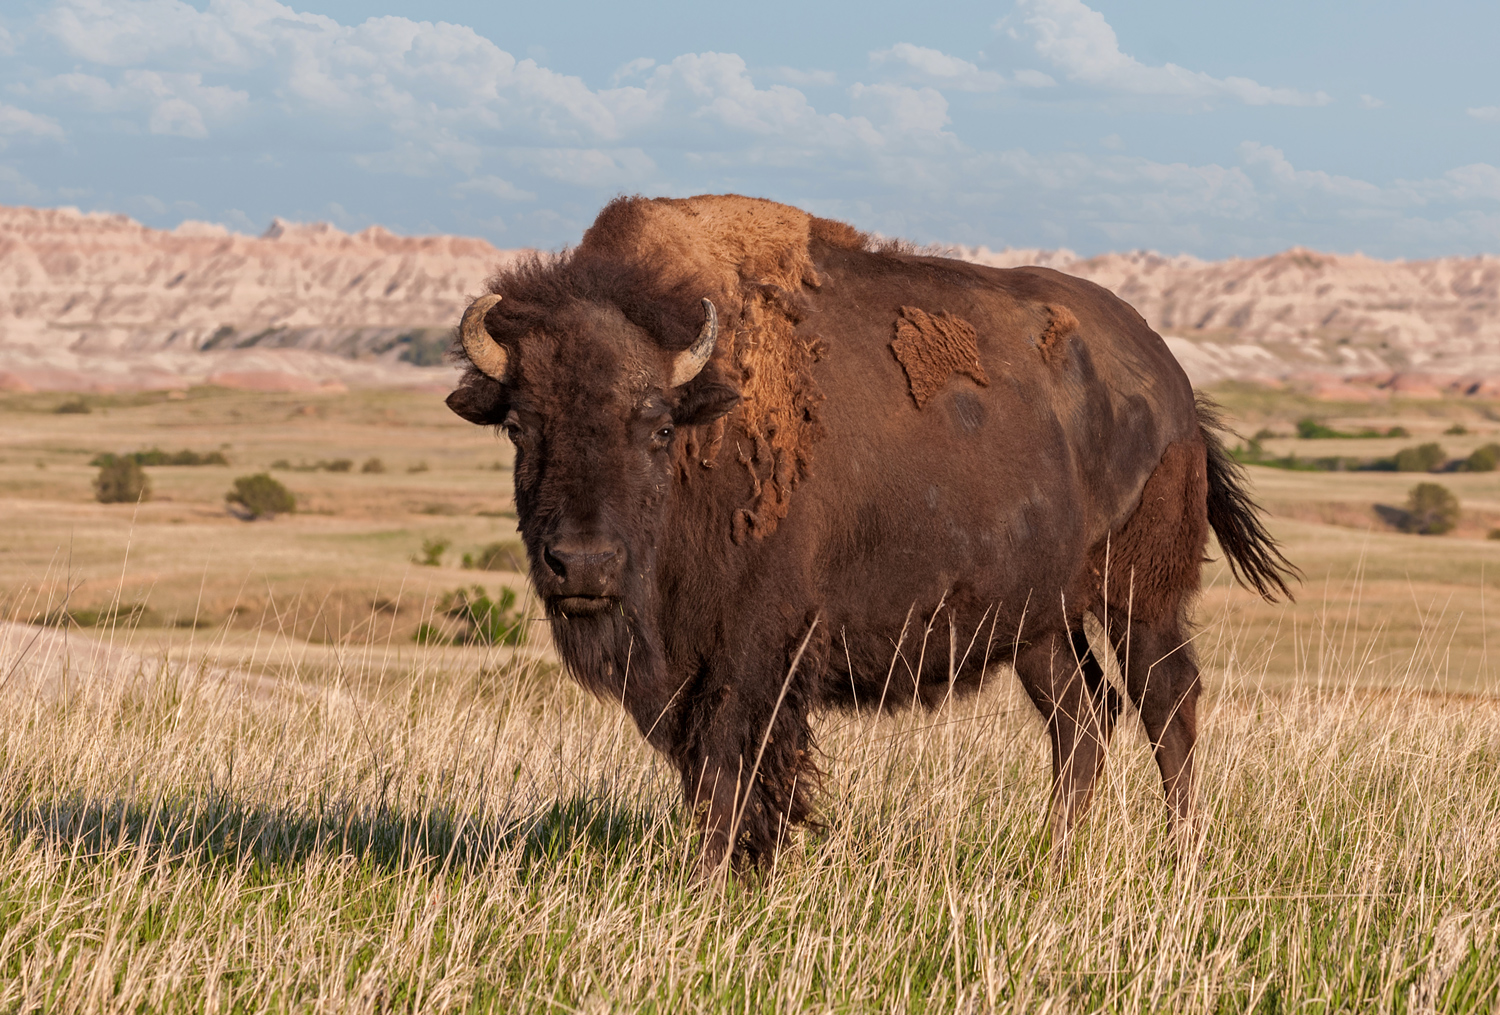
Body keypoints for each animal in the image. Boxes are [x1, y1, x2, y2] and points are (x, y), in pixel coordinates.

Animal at [441, 193, 1290, 875]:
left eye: (655, 425)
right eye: (520, 425)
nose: (582, 564)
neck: (703, 415)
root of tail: (1172, 384)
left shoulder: (754, 646)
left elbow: (730, 764)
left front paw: (716, 881)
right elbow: (711, 770)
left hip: (1139, 597)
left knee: (1167, 706)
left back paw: (1180, 863)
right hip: (1040, 623)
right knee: (1082, 722)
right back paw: (1053, 866)